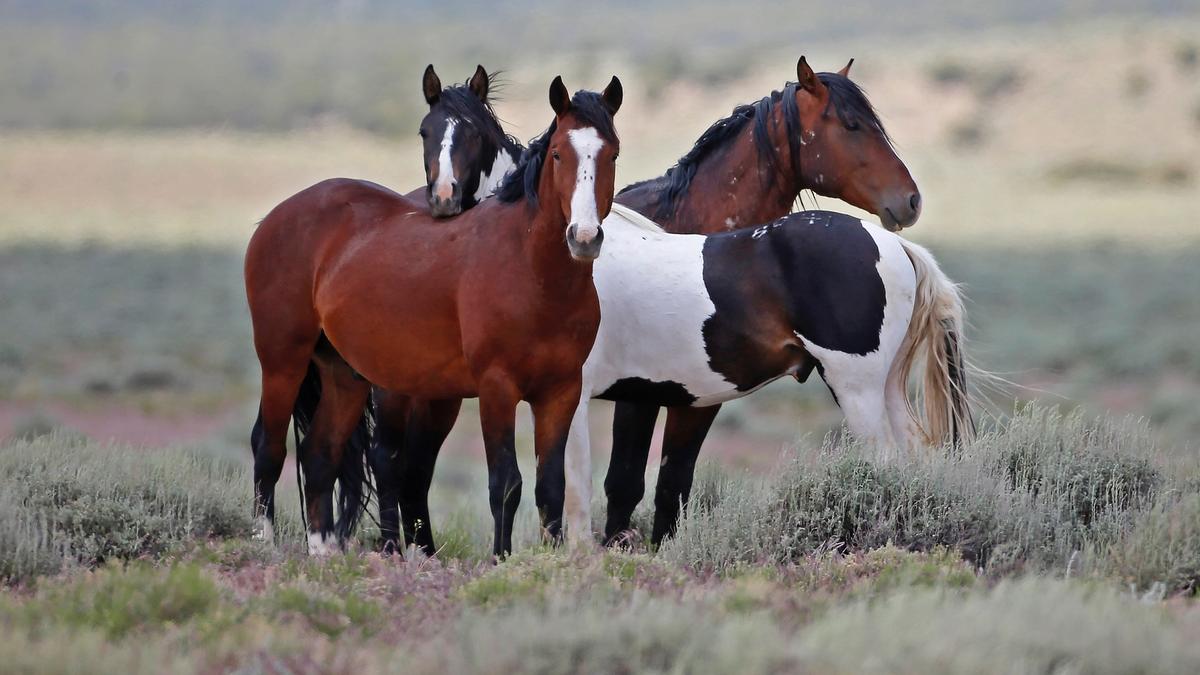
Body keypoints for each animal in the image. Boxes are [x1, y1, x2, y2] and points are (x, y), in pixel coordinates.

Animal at [245, 76, 623, 557]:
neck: (532, 271)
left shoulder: (560, 391)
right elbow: (505, 484)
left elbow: (550, 486)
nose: (584, 237)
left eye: (611, 153)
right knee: (269, 448)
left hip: (344, 375)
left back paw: (325, 554)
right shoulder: (496, 388)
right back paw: (263, 544)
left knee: (319, 455)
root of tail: (277, 216)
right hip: (283, 362)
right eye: (558, 153)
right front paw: (502, 560)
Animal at [371, 57, 928, 554]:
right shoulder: (630, 397)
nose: (910, 200)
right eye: (851, 125)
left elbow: (621, 488)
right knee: (393, 462)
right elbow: (605, 488)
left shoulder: (640, 398)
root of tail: (898, 249)